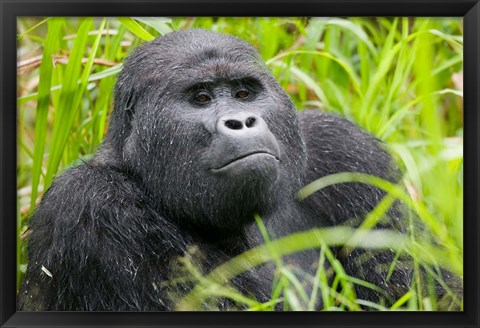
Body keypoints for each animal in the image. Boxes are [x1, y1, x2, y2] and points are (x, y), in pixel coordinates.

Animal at [17, 28, 454, 310]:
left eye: (244, 93)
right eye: (201, 98)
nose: (241, 121)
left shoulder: (347, 152)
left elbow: (430, 292)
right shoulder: (94, 205)